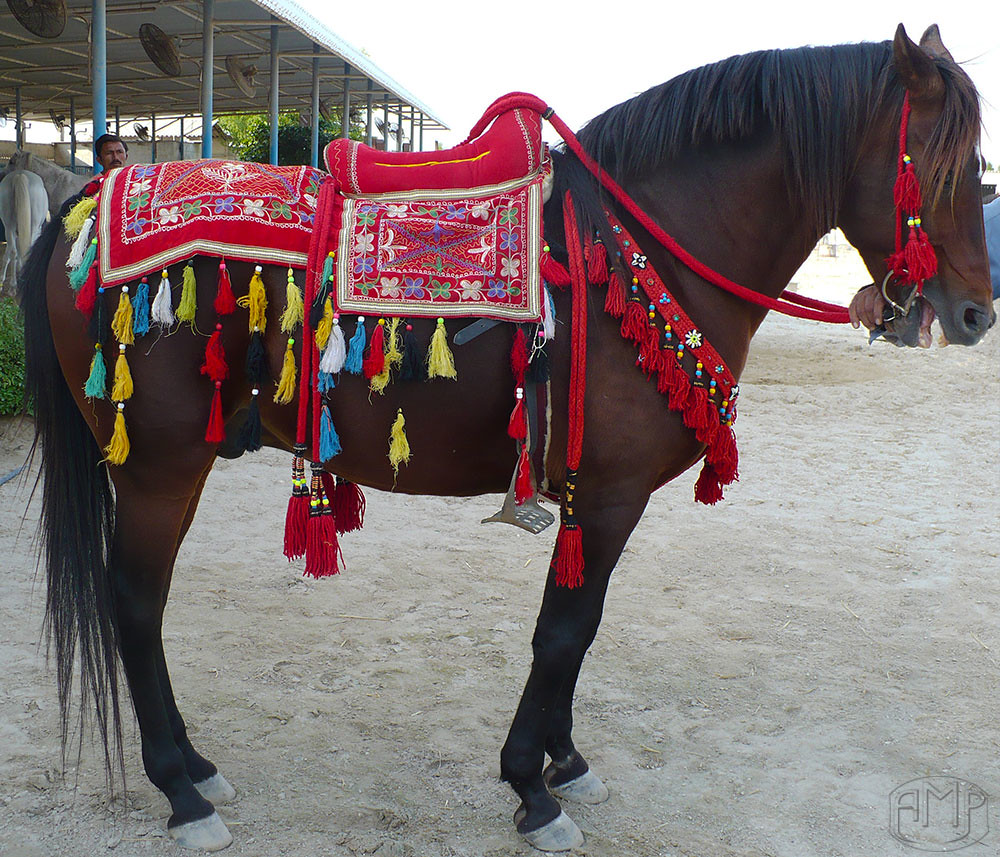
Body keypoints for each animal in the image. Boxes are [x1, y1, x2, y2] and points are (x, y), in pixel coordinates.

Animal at [17, 24, 993, 853]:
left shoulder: (592, 495)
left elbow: (579, 628)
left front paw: (564, 760)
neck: (643, 248)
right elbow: (563, 631)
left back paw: (197, 768)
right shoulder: (608, 494)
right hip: (158, 468)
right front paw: (532, 786)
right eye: (942, 166)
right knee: (134, 603)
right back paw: (180, 791)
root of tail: (82, 206)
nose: (975, 315)